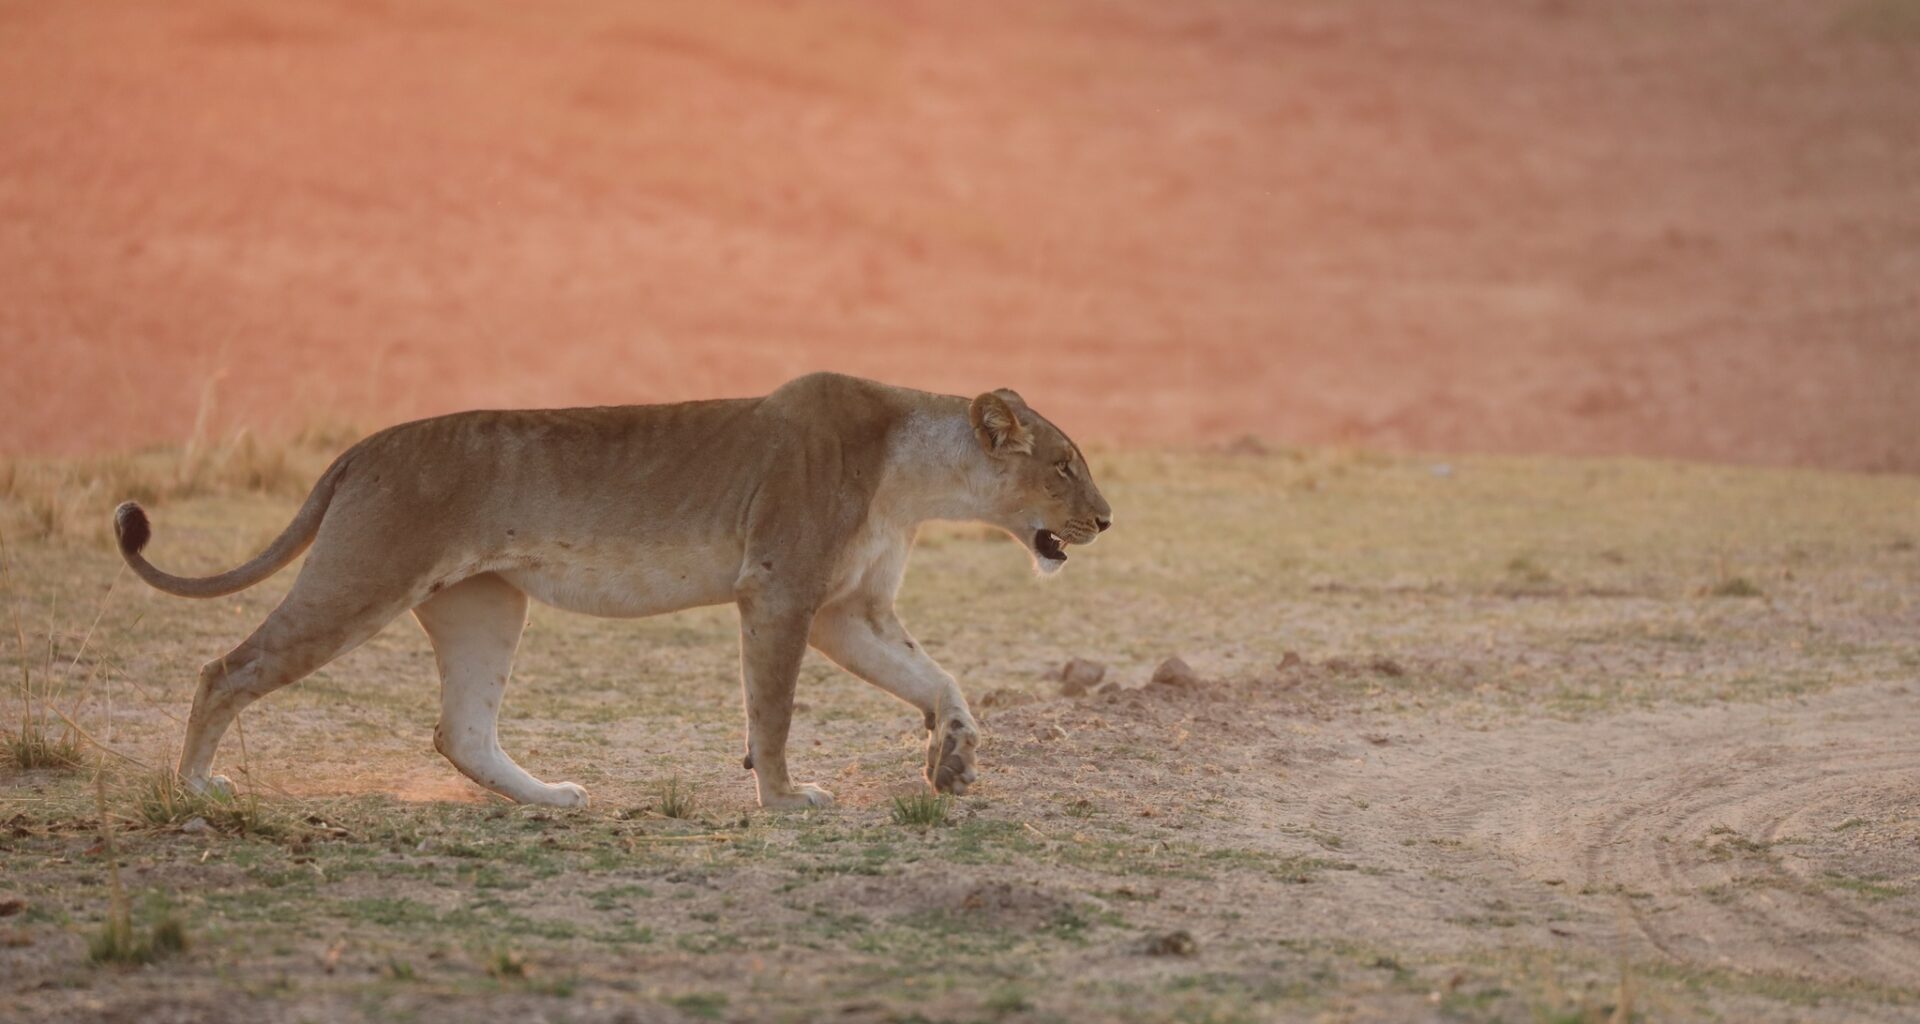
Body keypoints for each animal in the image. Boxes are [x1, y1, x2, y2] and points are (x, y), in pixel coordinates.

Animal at [113, 373, 1112, 810]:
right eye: (1065, 464)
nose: (1107, 520)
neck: (914, 480)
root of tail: (362, 445)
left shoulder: (847, 613)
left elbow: (938, 679)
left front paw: (954, 759)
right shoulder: (782, 592)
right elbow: (774, 711)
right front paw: (786, 800)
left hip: (486, 603)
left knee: (461, 729)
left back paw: (552, 797)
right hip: (362, 577)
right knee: (224, 669)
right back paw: (194, 786)